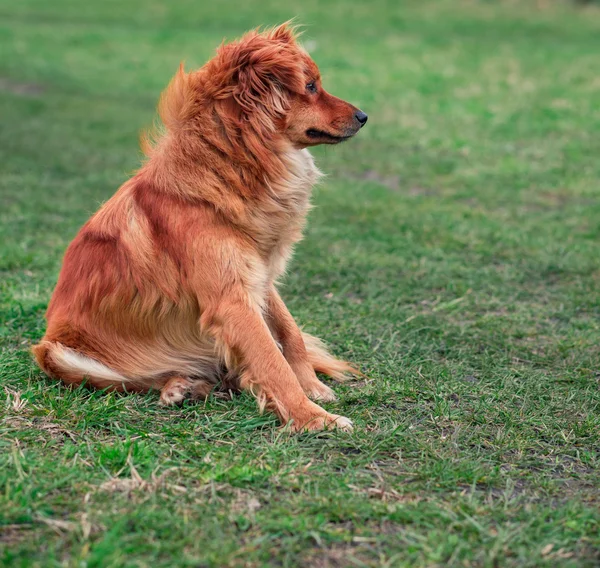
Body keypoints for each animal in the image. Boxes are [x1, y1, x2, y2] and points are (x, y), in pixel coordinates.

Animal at [36, 23, 370, 430]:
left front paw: (312, 388)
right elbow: (272, 360)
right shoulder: (232, 299)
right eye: (310, 86)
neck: (230, 166)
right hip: (56, 353)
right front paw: (311, 418)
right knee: (135, 380)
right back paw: (180, 386)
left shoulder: (257, 275)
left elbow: (290, 334)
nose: (364, 116)